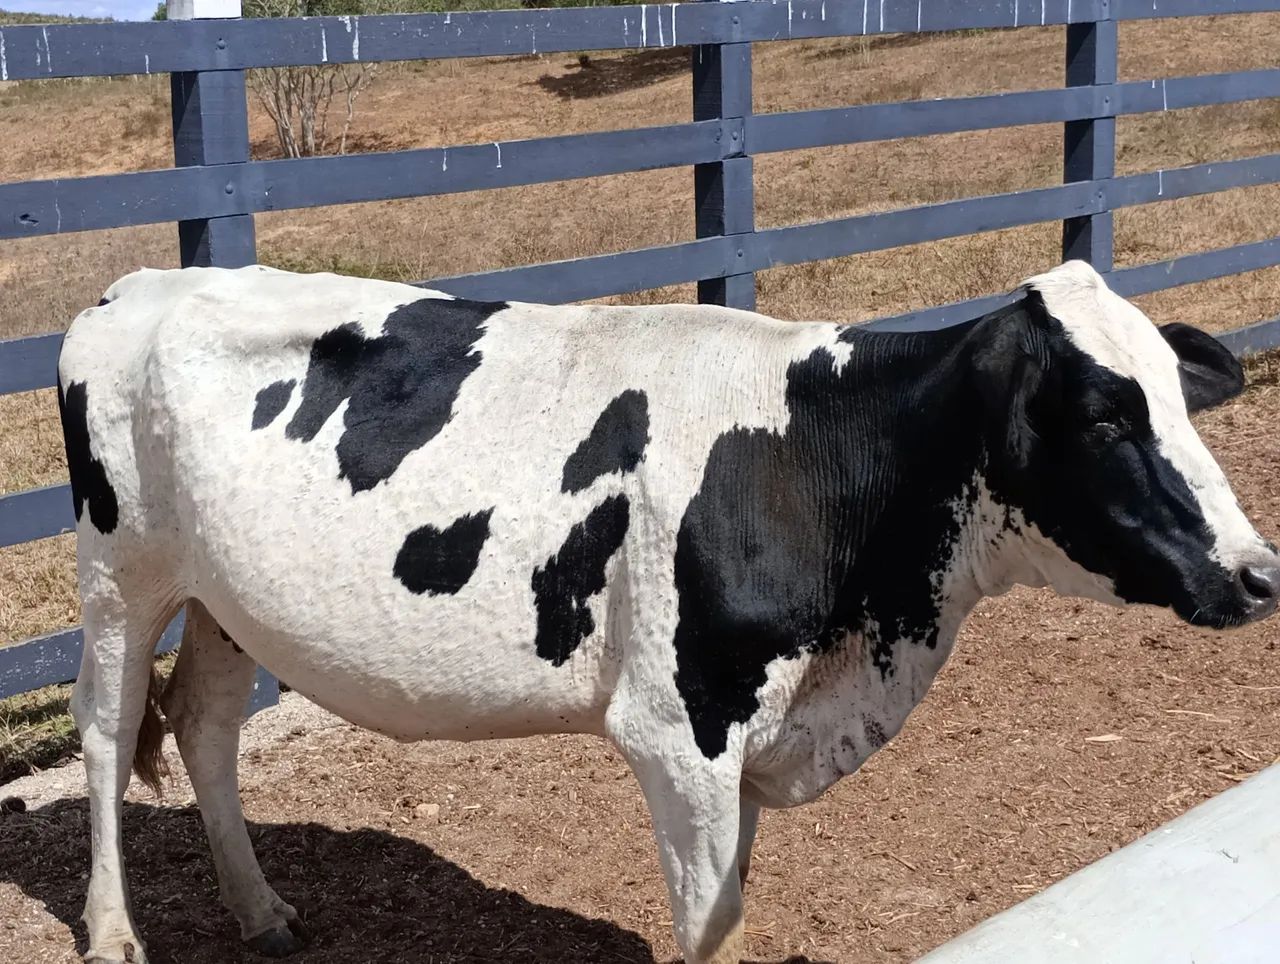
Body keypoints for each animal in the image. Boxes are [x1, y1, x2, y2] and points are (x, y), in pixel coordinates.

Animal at [56, 260, 1278, 964]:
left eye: (1180, 398)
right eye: (1104, 416)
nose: (1258, 572)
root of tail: (140, 282)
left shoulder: (752, 727)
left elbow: (731, 900)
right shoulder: (675, 723)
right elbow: (707, 917)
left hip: (223, 598)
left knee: (204, 724)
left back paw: (261, 911)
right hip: (123, 574)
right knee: (108, 733)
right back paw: (115, 932)